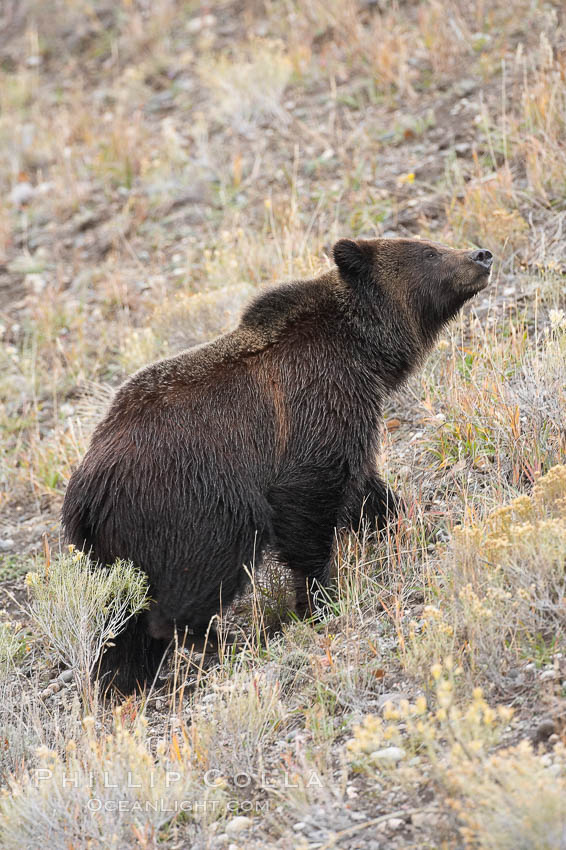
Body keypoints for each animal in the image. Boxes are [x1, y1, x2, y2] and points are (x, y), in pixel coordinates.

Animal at [62, 237, 493, 694]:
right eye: (428, 252)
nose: (482, 255)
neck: (360, 349)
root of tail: (84, 492)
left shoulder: (344, 419)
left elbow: (364, 487)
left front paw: (408, 524)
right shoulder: (312, 409)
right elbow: (309, 504)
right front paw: (318, 597)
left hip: (119, 546)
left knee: (125, 612)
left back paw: (125, 676)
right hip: (190, 503)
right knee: (196, 577)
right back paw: (220, 643)